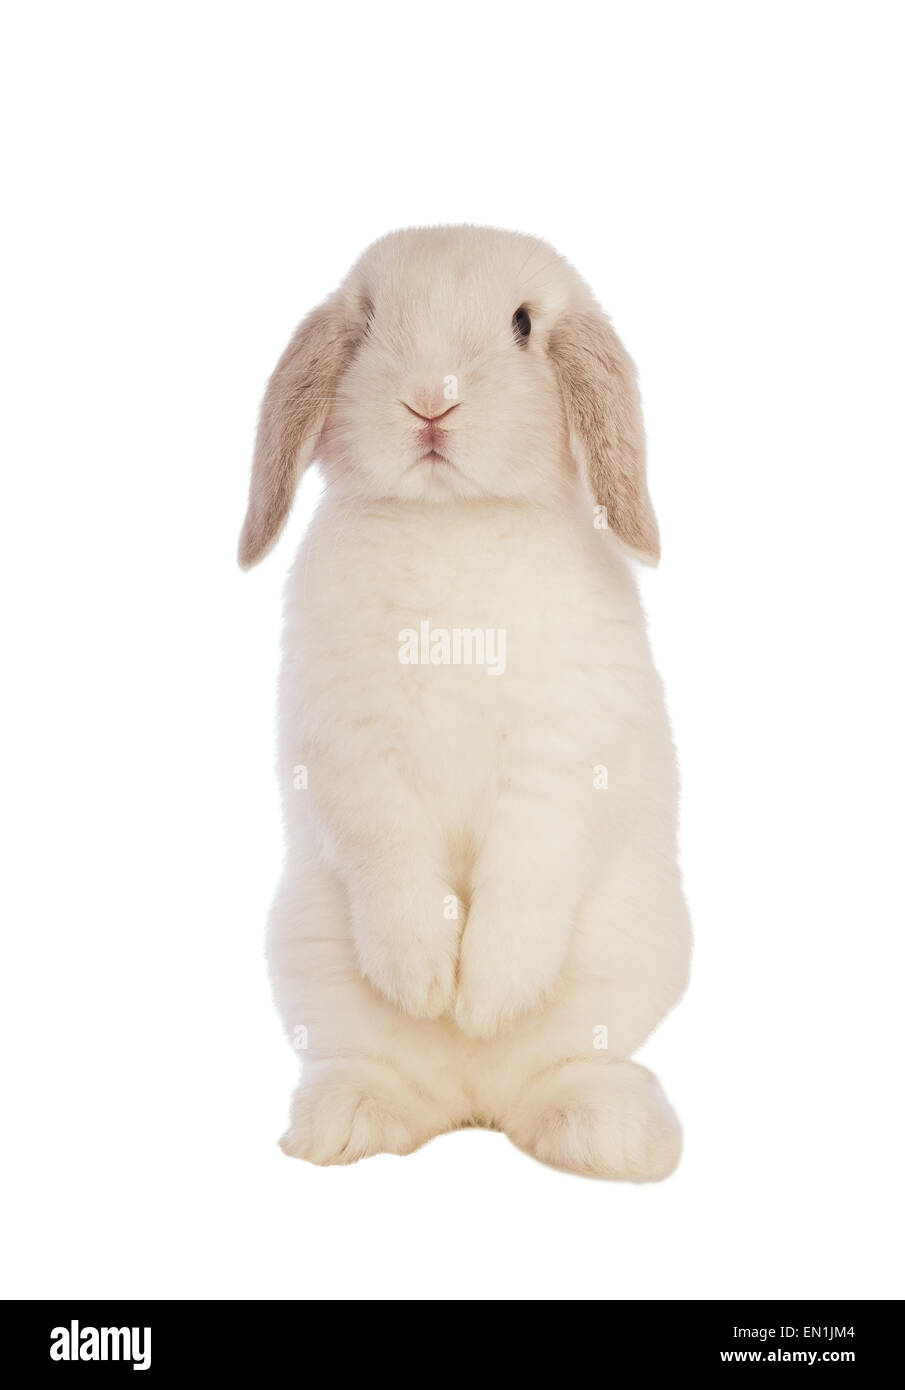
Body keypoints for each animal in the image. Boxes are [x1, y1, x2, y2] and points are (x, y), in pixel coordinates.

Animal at [239, 225, 691, 1179]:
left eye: (522, 325)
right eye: (369, 322)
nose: (428, 400)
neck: (451, 518)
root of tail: (474, 1109)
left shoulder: (557, 764)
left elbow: (525, 873)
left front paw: (482, 997)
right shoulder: (353, 755)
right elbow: (391, 860)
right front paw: (423, 980)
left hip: (629, 958)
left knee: (566, 1066)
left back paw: (606, 1131)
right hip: (311, 962)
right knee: (383, 1071)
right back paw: (349, 1118)